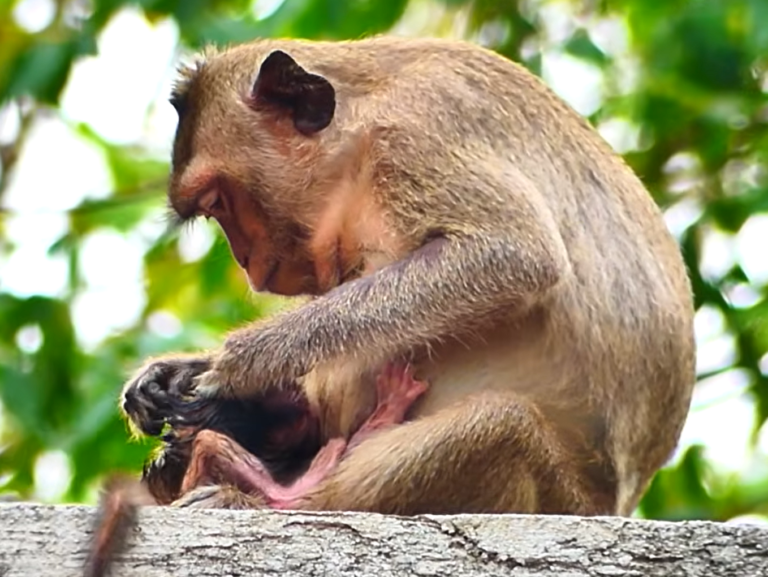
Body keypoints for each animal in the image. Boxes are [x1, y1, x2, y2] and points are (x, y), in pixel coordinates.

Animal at [120, 36, 696, 517]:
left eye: (219, 202)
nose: (245, 259)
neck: (359, 132)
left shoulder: (416, 136)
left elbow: (514, 254)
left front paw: (237, 367)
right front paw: (174, 379)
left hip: (558, 497)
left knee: (502, 424)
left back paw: (273, 496)